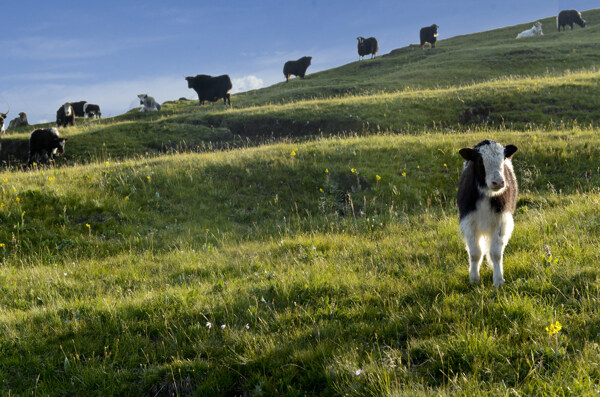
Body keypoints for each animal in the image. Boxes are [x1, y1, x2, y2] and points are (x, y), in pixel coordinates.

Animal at [458, 138, 516, 284]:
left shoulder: (501, 221)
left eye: (503, 158)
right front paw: (474, 279)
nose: (498, 182)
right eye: (480, 160)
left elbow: (496, 253)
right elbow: (475, 253)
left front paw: (498, 280)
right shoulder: (469, 222)